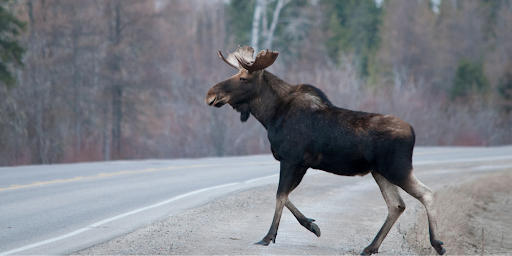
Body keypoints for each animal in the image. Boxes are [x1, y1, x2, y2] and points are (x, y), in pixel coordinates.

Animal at [206, 45, 446, 254]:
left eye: (243, 78)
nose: (211, 94)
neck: (270, 115)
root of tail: (413, 132)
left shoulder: (290, 159)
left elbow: (280, 195)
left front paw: (268, 236)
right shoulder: (301, 164)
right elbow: (285, 195)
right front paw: (312, 225)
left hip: (397, 168)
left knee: (426, 193)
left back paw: (437, 243)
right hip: (380, 171)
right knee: (396, 205)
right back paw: (370, 247)